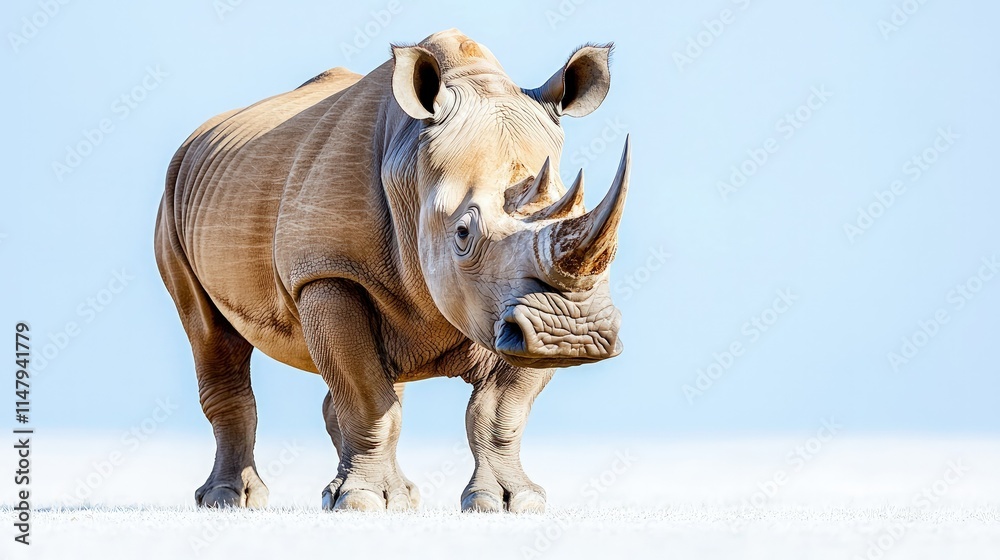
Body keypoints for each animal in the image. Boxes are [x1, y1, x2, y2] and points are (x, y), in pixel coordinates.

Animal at [154, 29, 630, 512]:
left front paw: (512, 501)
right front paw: (362, 501)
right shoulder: (328, 272)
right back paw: (229, 500)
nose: (569, 333)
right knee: (211, 335)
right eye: (463, 233)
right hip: (173, 198)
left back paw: (394, 494)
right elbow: (367, 398)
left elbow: (500, 410)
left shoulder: (513, 310)